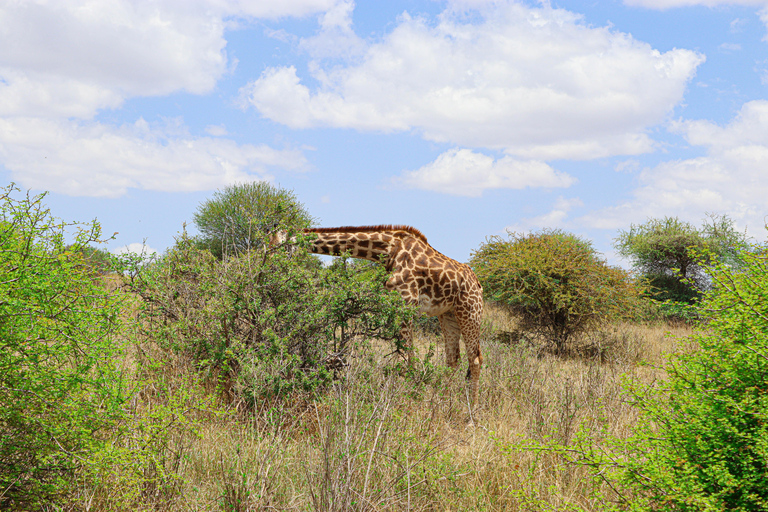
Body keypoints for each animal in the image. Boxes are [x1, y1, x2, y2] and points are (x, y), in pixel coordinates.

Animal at [300, 226, 480, 402]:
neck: (391, 250)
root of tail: (478, 284)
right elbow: (408, 356)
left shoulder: (407, 302)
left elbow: (404, 359)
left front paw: (402, 402)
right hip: (448, 315)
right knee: (453, 360)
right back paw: (443, 402)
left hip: (470, 311)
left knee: (475, 359)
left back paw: (472, 409)